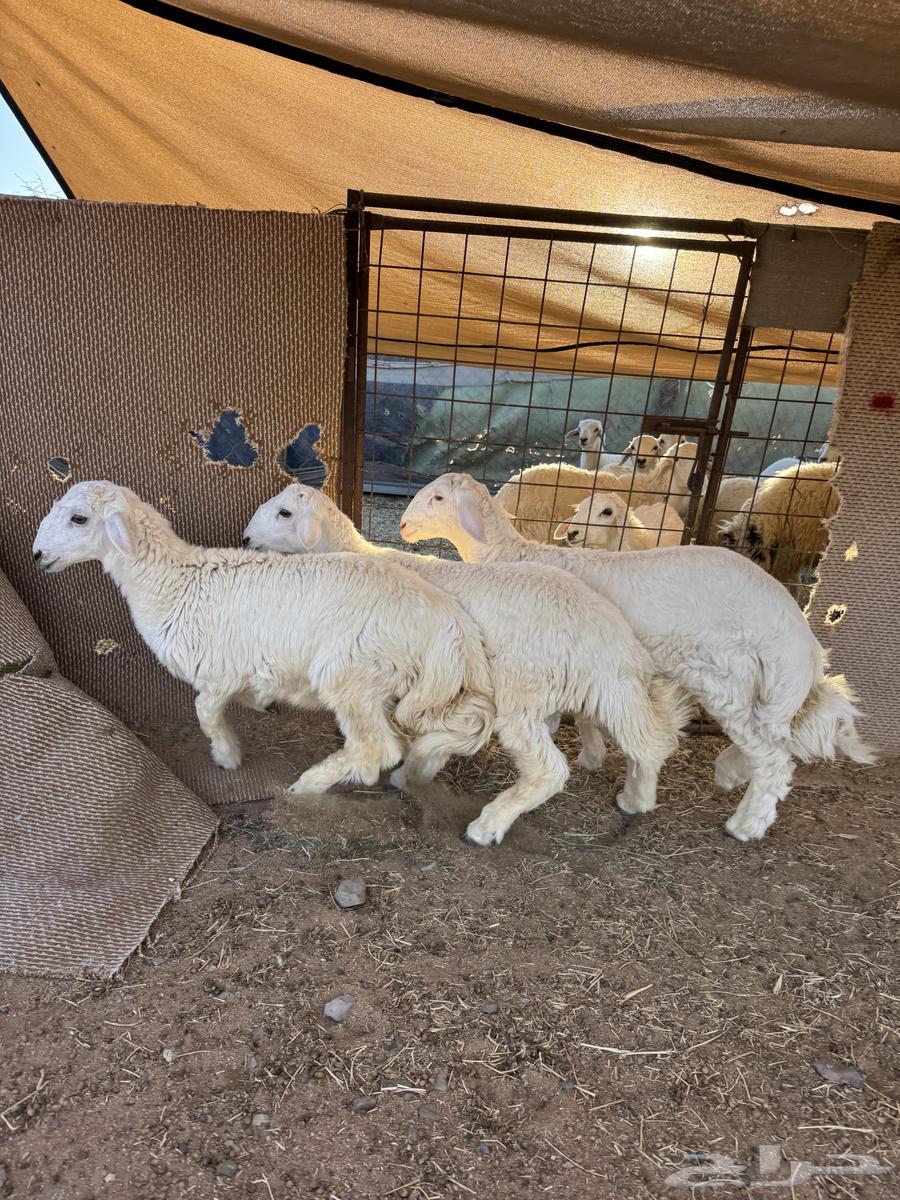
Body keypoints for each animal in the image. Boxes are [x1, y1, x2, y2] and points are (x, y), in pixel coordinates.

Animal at [32, 481, 496, 796]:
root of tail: (451, 625)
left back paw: (307, 786)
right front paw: (259, 705)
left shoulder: (215, 669)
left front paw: (227, 756)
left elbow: (205, 712)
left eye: (78, 518)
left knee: (376, 749)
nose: (37, 555)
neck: (174, 583)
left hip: (352, 674)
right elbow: (238, 698)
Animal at [244, 483, 690, 845]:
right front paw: (414, 766)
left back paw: (488, 825)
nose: (246, 539)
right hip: (613, 690)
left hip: (523, 691)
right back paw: (636, 799)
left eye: (285, 513)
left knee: (549, 770)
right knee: (648, 742)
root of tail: (609, 639)